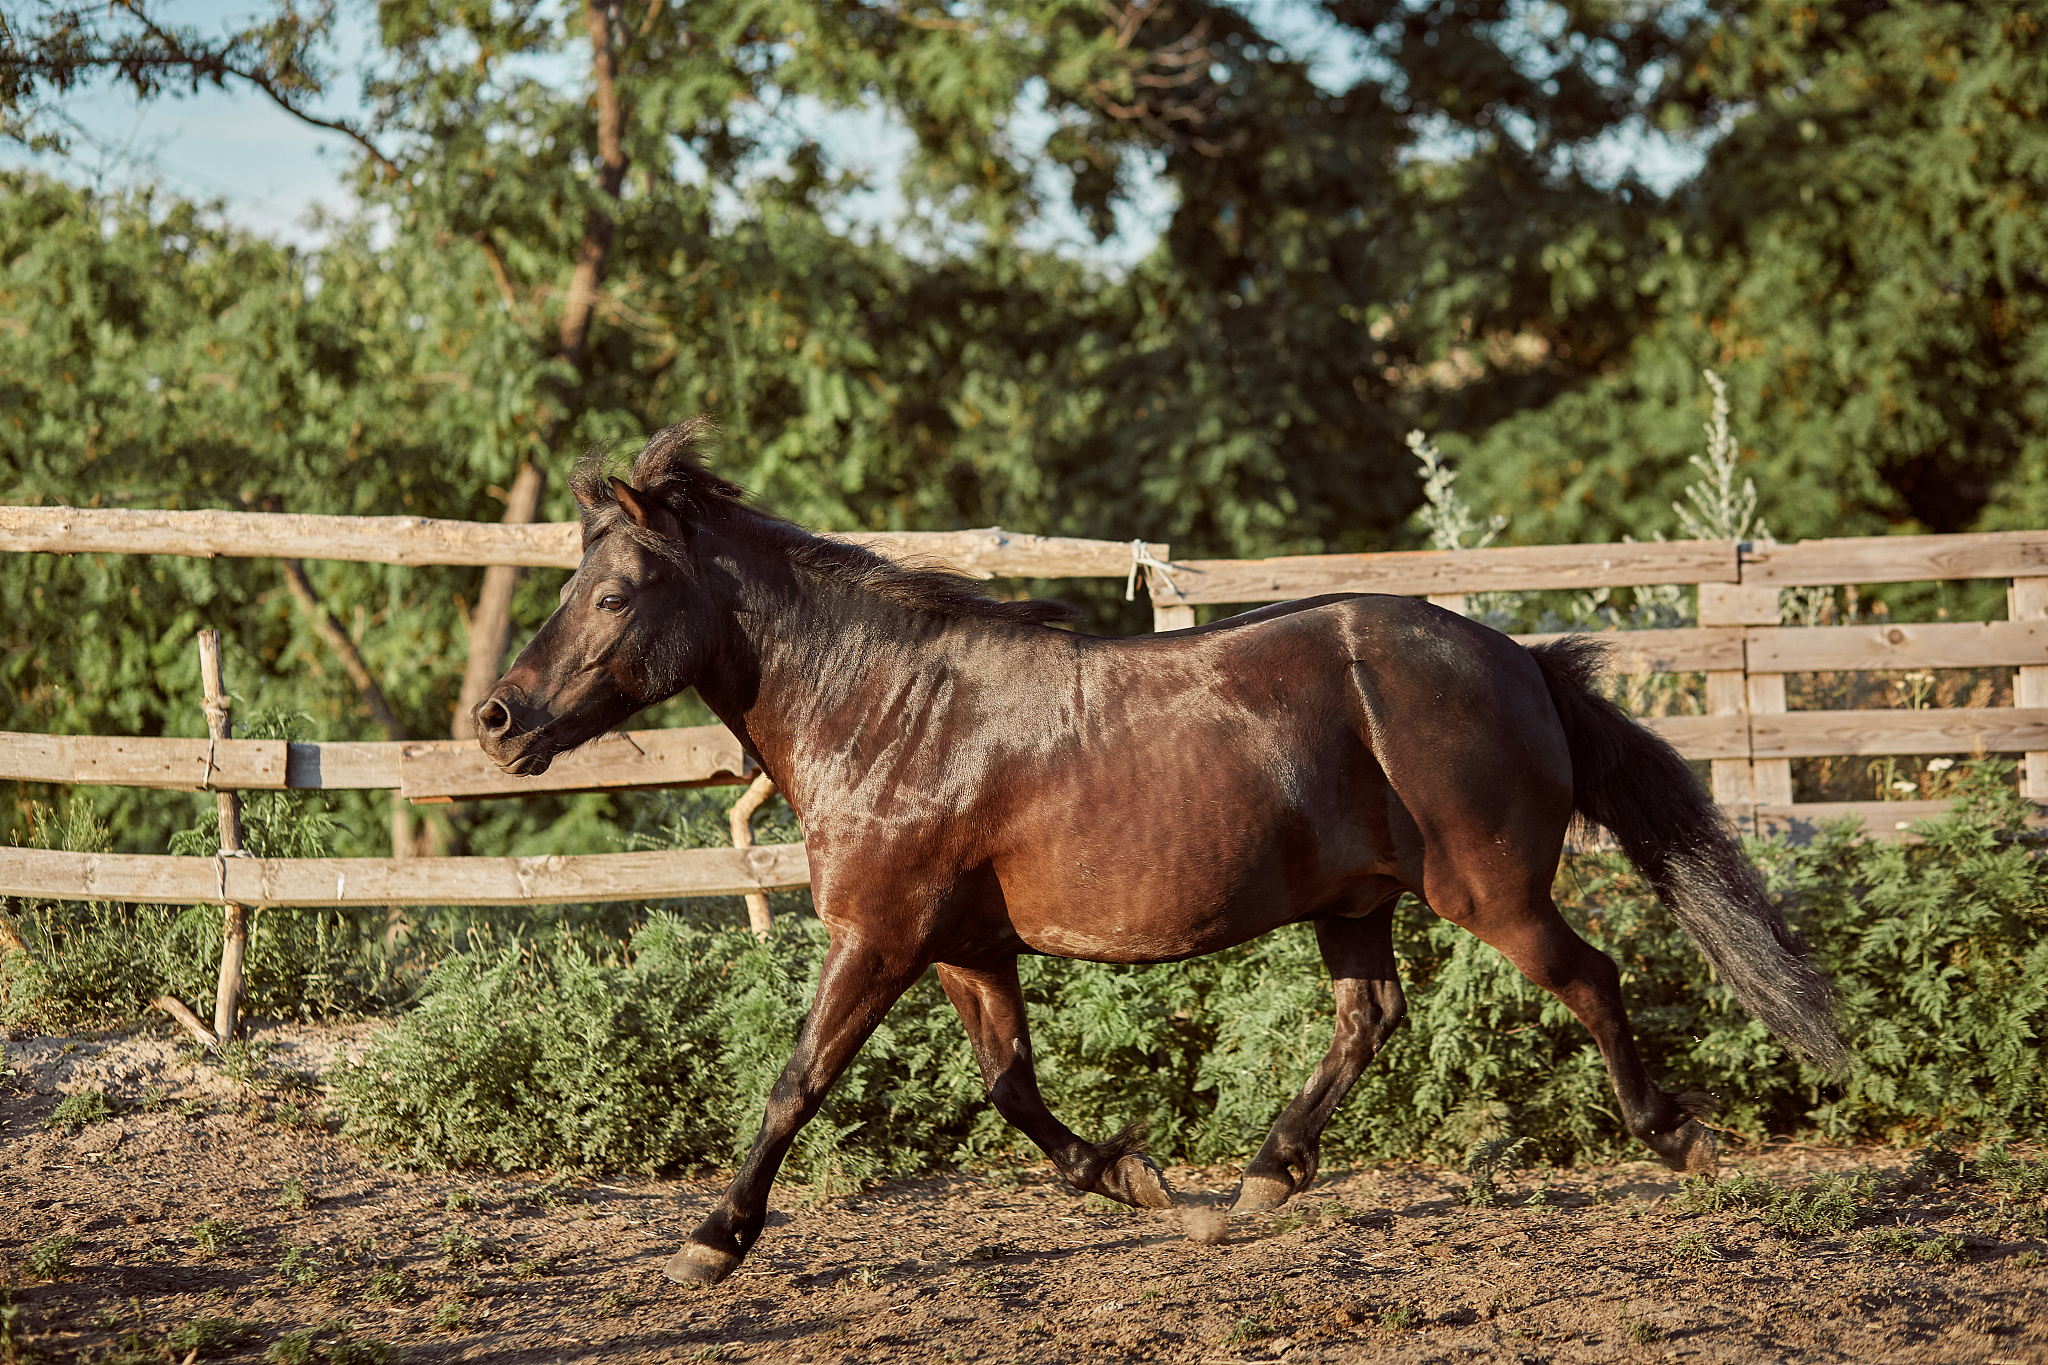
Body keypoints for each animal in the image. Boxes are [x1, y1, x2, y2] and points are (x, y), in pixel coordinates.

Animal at [473, 421, 1846, 1286]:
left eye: (612, 594)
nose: (497, 720)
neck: (891, 713)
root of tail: (1519, 661)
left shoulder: (880, 936)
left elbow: (795, 1082)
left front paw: (710, 1240)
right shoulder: (965, 948)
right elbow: (1010, 1088)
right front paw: (1138, 1182)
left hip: (1488, 891)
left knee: (1588, 978)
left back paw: (1676, 1139)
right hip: (1351, 902)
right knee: (1369, 1019)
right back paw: (1257, 1183)